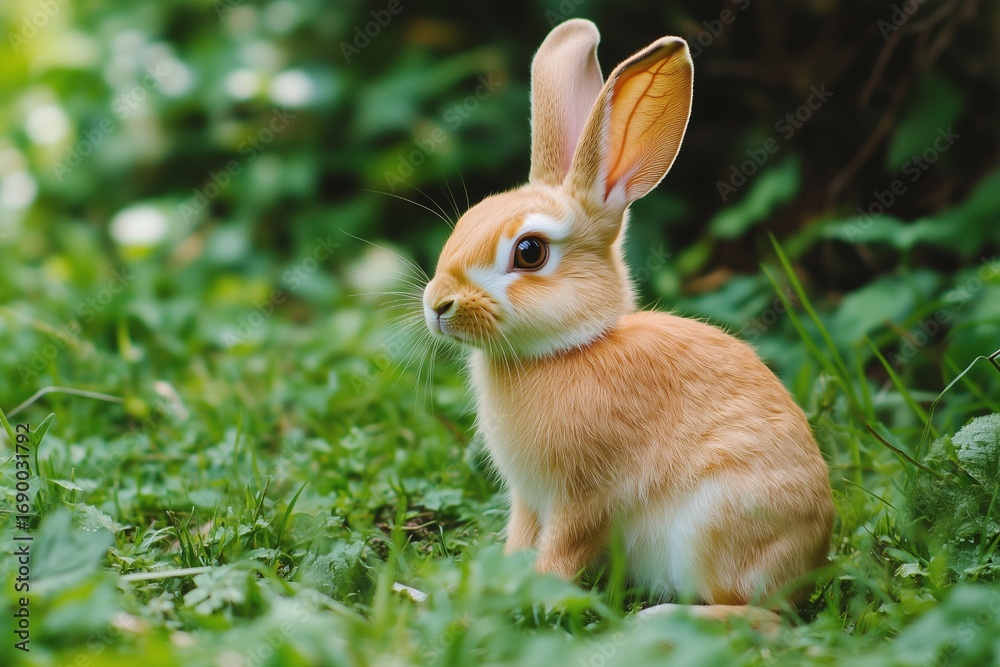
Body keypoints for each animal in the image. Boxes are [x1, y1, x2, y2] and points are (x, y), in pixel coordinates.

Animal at [421, 18, 834, 626]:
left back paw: (660, 620)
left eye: (529, 252)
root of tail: (812, 560)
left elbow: (562, 553)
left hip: (713, 524)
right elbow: (519, 541)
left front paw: (530, 596)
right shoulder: (529, 500)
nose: (438, 305)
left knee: (763, 617)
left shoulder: (584, 501)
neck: (569, 348)